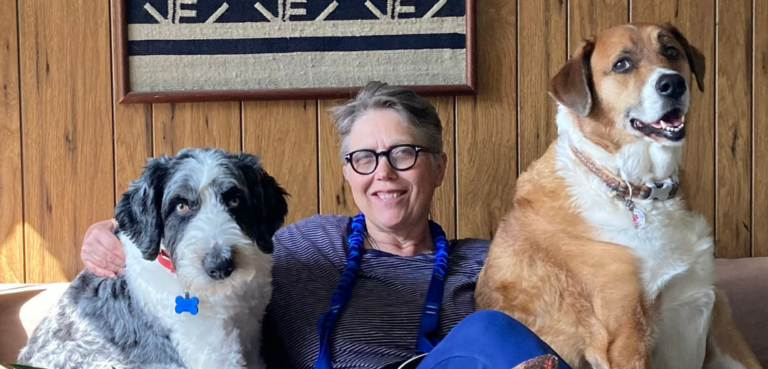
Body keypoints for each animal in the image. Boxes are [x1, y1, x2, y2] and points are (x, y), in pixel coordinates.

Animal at [474, 23, 760, 368]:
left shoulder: (716, 310)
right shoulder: (626, 336)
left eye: (671, 51)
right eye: (622, 64)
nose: (673, 83)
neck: (640, 190)